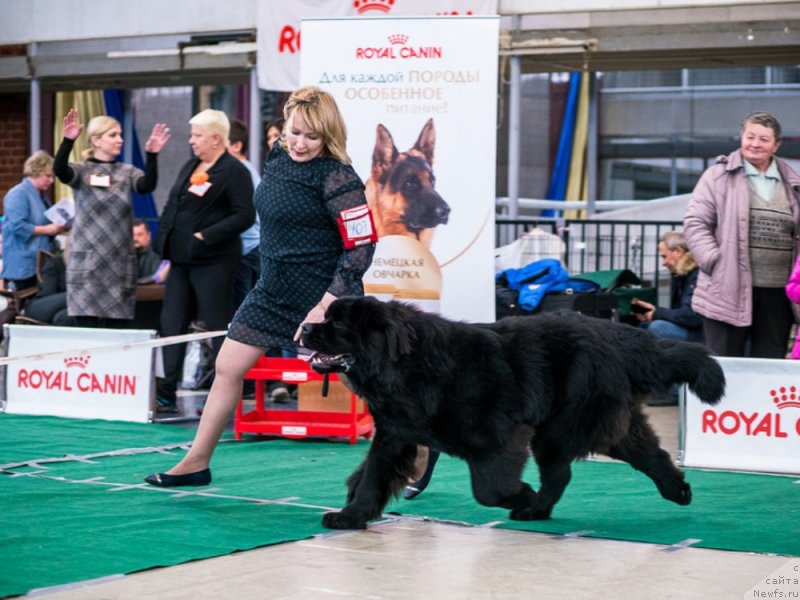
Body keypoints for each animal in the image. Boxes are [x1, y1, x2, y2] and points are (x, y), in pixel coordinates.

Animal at [300, 296, 724, 528]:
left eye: (337, 323)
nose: (305, 327)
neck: (406, 364)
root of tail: (619, 336)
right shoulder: (394, 432)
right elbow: (372, 476)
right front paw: (351, 515)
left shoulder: (497, 436)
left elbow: (490, 488)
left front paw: (521, 494)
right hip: (595, 423)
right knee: (646, 453)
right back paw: (677, 489)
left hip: (561, 426)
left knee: (562, 472)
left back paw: (535, 505)